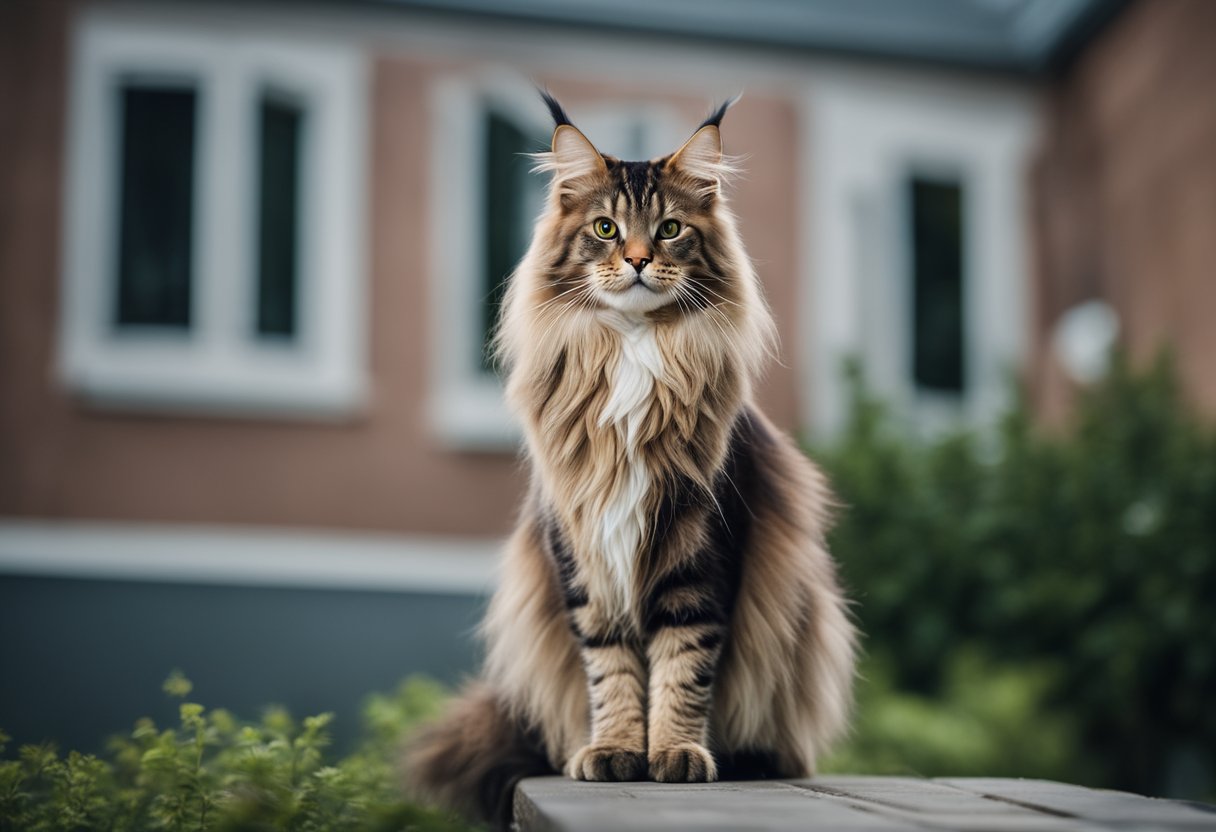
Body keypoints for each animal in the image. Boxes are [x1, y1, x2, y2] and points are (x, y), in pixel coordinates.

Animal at [401, 92, 856, 827]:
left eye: (669, 229)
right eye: (607, 228)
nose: (640, 259)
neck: (635, 353)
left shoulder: (701, 552)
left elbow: (683, 665)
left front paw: (675, 754)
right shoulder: (585, 551)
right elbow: (611, 669)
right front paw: (616, 750)